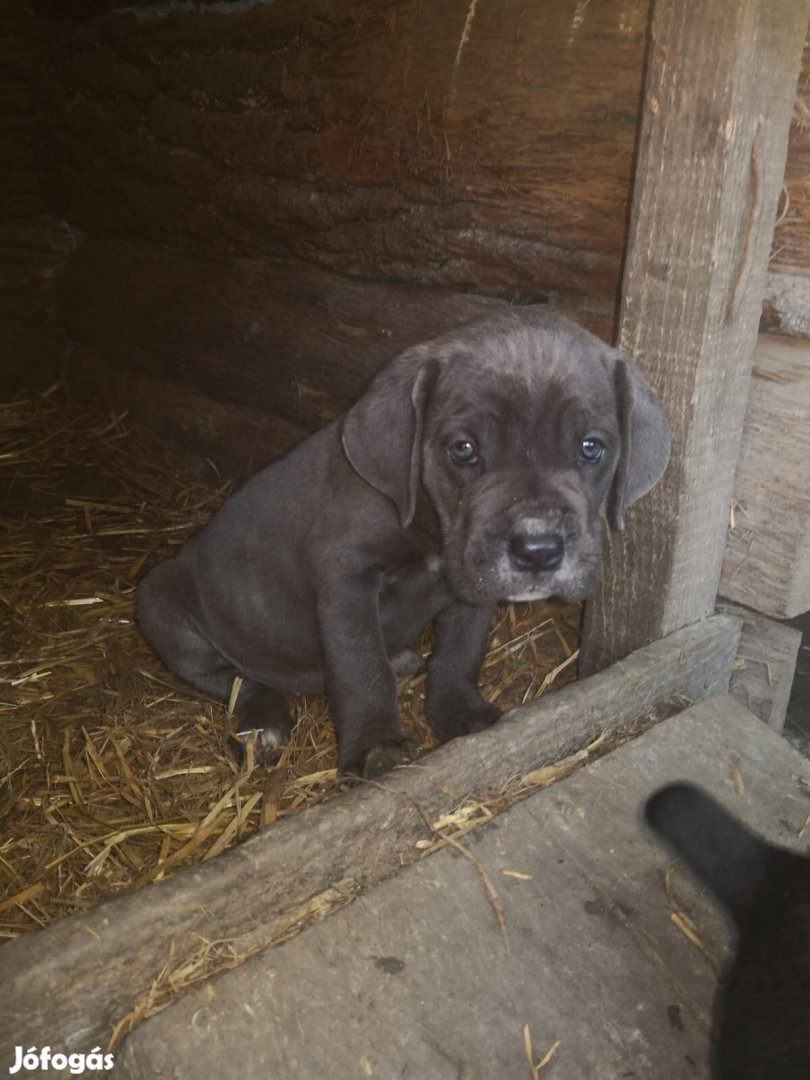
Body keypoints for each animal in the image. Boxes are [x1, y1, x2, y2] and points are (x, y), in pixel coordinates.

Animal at [138, 311, 673, 777]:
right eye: (463, 449)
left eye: (591, 447)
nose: (538, 549)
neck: (431, 526)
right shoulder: (345, 579)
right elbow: (360, 665)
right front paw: (378, 748)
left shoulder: (471, 582)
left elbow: (461, 650)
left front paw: (460, 713)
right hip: (161, 602)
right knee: (237, 677)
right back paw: (263, 720)